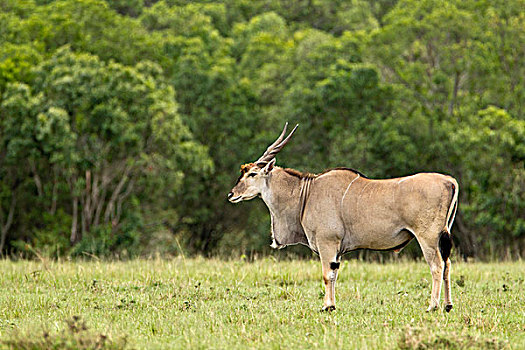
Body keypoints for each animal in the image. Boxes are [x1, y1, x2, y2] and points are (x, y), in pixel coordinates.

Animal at [227, 123, 456, 312]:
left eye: (252, 174)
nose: (231, 194)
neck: (306, 193)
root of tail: (449, 181)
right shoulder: (336, 250)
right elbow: (334, 274)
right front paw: (332, 305)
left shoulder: (327, 242)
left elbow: (327, 275)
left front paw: (327, 307)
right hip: (442, 237)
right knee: (447, 265)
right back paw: (447, 305)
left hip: (427, 237)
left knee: (437, 266)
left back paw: (433, 306)